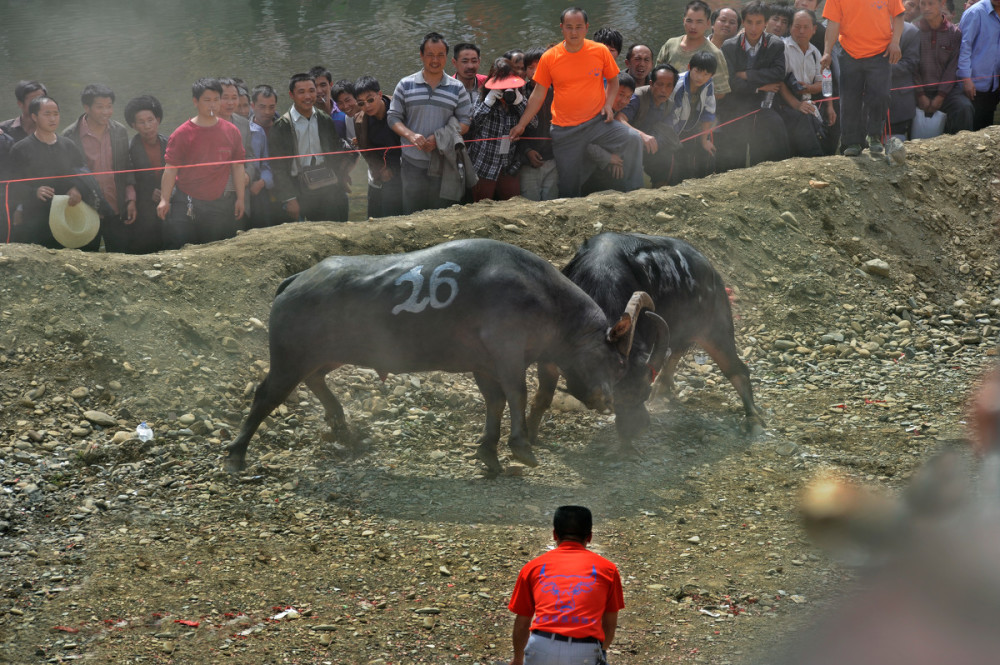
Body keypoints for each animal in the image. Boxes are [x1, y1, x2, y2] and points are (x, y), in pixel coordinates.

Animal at [225, 237, 656, 472]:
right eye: (617, 363)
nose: (605, 400)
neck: (544, 298)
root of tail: (297, 279)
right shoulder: (506, 353)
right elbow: (516, 394)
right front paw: (520, 447)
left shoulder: (483, 365)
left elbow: (495, 401)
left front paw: (488, 451)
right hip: (289, 357)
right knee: (267, 395)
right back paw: (236, 453)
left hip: (327, 355)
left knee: (315, 379)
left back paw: (341, 424)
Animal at [528, 232, 760, 446]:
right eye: (615, 400)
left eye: (644, 393)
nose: (637, 429)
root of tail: (711, 271)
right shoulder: (549, 356)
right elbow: (542, 398)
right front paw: (530, 438)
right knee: (676, 352)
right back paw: (664, 388)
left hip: (716, 330)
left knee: (738, 370)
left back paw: (753, 420)